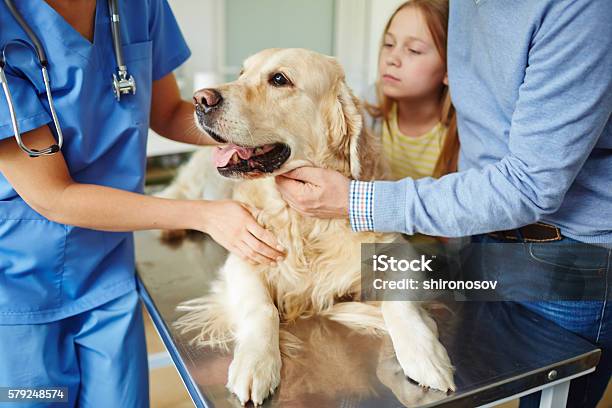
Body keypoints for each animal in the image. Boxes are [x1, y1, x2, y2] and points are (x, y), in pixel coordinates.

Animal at [160, 47, 456, 404]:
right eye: (243, 73)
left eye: (279, 79)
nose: (200, 100)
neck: (304, 223)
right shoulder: (243, 257)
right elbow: (262, 309)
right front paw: (256, 363)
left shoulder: (399, 252)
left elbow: (401, 306)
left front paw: (425, 356)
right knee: (175, 192)